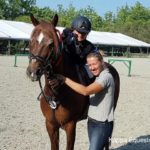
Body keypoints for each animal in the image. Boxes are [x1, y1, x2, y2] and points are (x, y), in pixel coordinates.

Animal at [25, 13, 119, 149]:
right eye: (31, 41)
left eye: (51, 44)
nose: (33, 71)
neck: (56, 94)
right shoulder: (51, 126)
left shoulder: (70, 126)